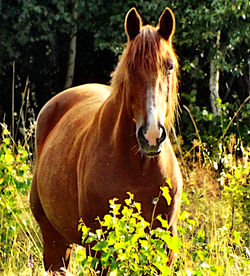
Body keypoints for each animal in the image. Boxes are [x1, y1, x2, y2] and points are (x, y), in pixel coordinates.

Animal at [29, 6, 182, 274]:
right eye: (130, 68)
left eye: (170, 66)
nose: (152, 135)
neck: (139, 169)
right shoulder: (101, 244)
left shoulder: (163, 244)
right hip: (54, 241)